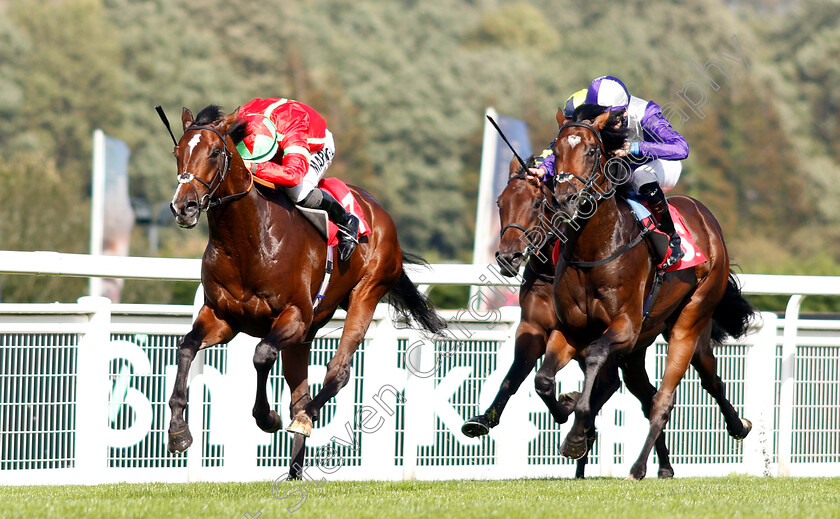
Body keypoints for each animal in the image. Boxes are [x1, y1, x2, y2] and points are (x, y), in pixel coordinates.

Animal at [162, 105, 446, 480]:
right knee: (300, 391)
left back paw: (303, 419)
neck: (247, 240)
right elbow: (186, 347)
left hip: (365, 293)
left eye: (214, 152)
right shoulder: (222, 318)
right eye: (177, 152)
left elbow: (262, 354)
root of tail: (379, 210)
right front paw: (178, 431)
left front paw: (266, 417)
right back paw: (294, 471)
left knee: (337, 373)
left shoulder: (294, 315)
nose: (185, 207)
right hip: (305, 334)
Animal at [536, 107, 756, 482]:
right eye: (556, 149)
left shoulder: (624, 327)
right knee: (678, 389)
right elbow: (543, 380)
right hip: (645, 346)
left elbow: (595, 356)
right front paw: (566, 411)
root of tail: (705, 216)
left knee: (672, 396)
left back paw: (641, 466)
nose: (566, 198)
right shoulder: (571, 330)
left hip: (690, 323)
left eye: (592, 151)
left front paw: (578, 434)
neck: (594, 249)